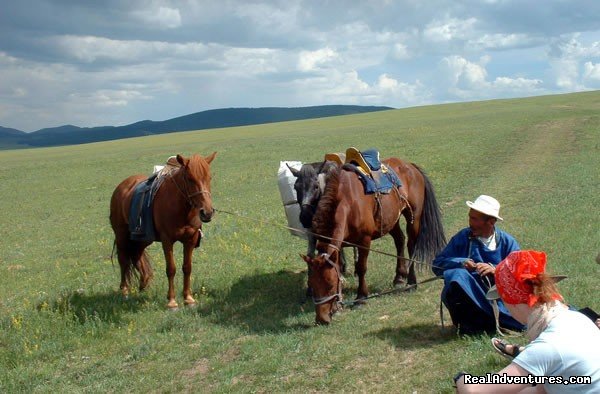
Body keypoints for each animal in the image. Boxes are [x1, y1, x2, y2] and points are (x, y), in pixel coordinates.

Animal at [110, 152, 218, 310]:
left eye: (209, 178)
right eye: (189, 178)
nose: (207, 212)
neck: (181, 209)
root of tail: (121, 186)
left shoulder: (190, 239)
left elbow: (187, 267)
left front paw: (188, 299)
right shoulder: (167, 240)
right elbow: (171, 269)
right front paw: (172, 302)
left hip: (143, 237)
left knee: (137, 255)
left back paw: (143, 284)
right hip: (121, 235)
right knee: (123, 260)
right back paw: (125, 291)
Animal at [300, 159, 446, 324]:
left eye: (330, 285)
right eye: (312, 284)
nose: (321, 318)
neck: (348, 202)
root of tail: (410, 166)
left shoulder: (364, 241)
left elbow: (361, 268)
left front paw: (361, 298)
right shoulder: (339, 244)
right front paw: (338, 306)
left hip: (414, 217)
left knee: (411, 246)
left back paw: (411, 282)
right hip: (391, 219)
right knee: (399, 240)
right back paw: (399, 277)